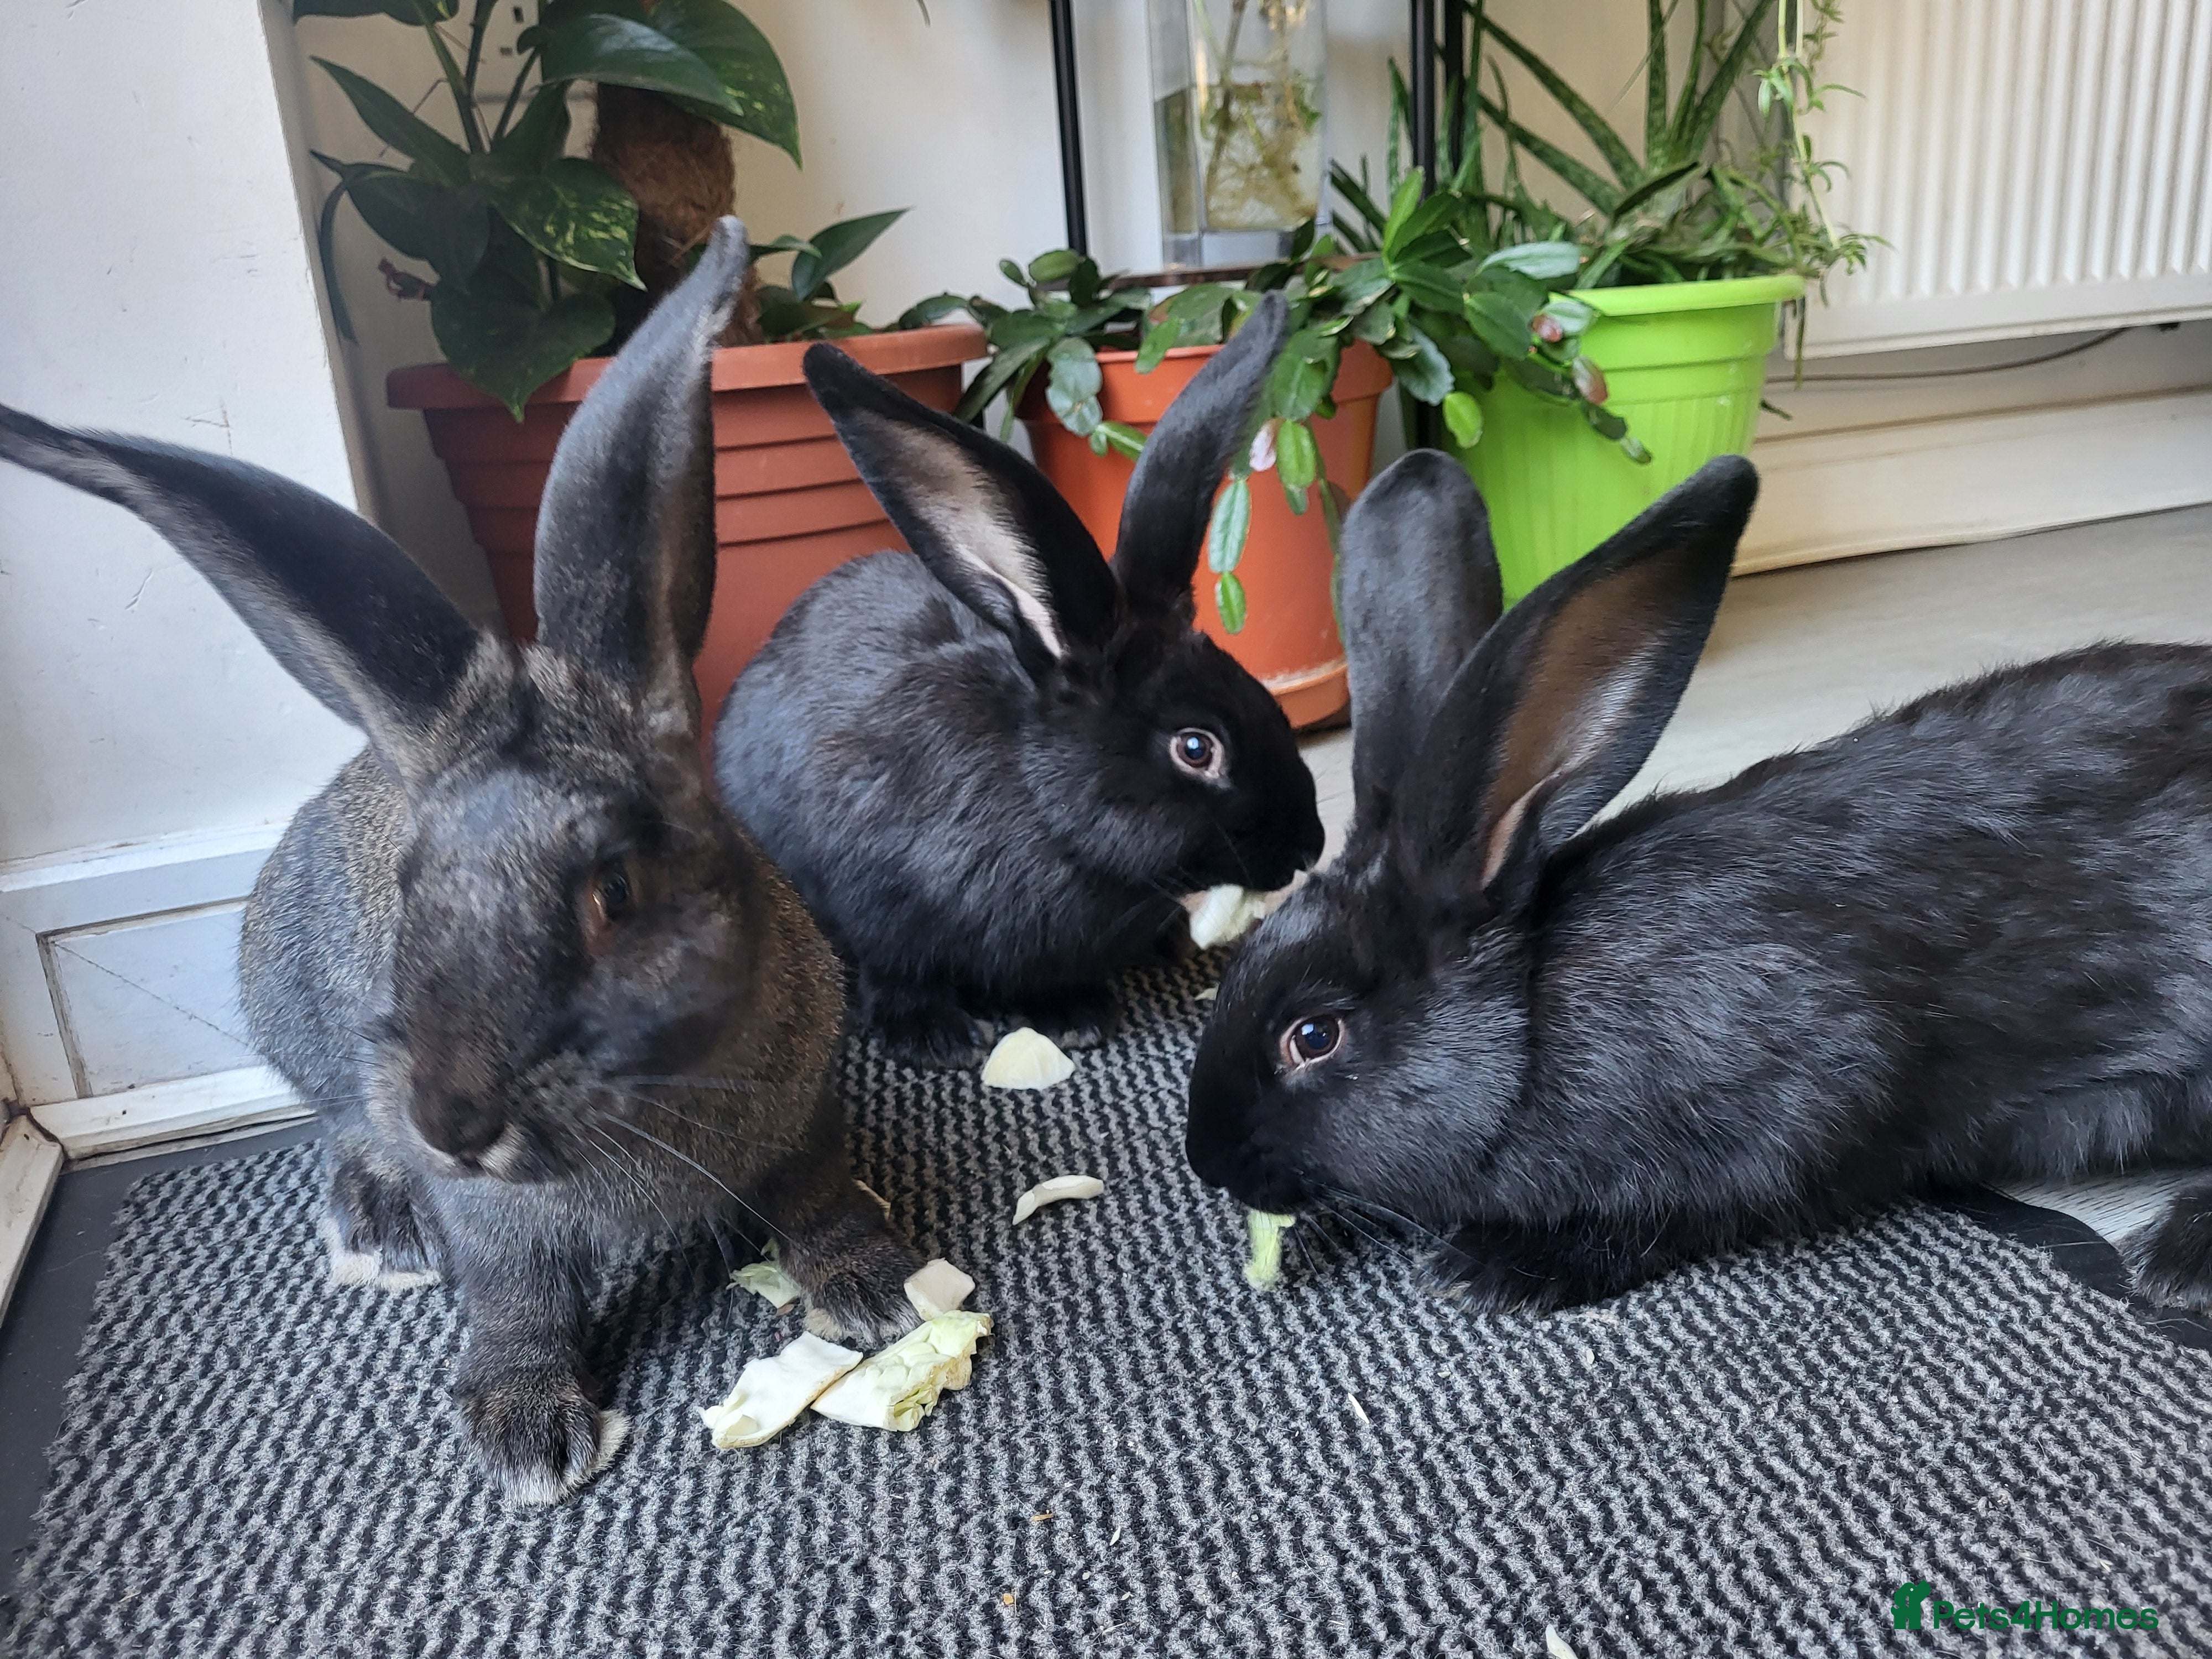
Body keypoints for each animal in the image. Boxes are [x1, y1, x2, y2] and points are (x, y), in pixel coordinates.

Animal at [0, 219, 923, 1504]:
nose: (452, 1121)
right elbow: (515, 1294)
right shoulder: (493, 1222)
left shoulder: (805, 1110)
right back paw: (381, 1229)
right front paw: (526, 1430)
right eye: (413, 893)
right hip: (303, 1030)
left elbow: (818, 1193)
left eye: (615, 892)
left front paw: (878, 1289)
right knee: (344, 1128)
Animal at [714, 291, 1324, 1069]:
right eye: (1196, 748)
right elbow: (897, 972)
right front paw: (934, 1038)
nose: (1310, 845)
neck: (1044, 813)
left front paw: (1071, 1016)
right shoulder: (869, 903)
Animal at [1185, 447, 2212, 1316]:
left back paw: (2175, 1262)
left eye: (1314, 1038)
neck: (1532, 1019)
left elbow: (1687, 1209)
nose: (1207, 1160)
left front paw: (1495, 1268)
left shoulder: (1810, 1095)